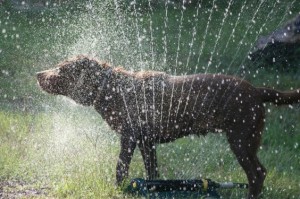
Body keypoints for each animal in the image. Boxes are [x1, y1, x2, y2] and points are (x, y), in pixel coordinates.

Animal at [36, 55, 298, 199]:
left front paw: (117, 190)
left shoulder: (129, 138)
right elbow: (153, 172)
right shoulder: (147, 142)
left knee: (257, 173)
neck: (115, 90)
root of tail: (257, 90)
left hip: (242, 139)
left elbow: (121, 169)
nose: (38, 73)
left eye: (60, 69)